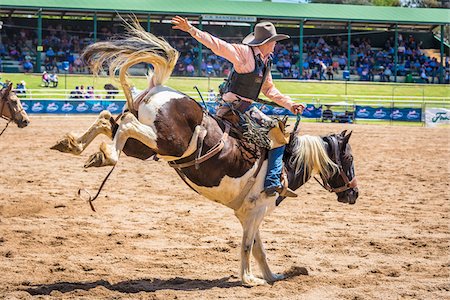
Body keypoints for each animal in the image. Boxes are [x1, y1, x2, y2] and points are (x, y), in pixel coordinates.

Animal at [51, 21, 358, 286]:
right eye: (349, 159)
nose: (354, 194)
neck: (287, 161)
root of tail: (158, 88)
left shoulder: (251, 213)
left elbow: (258, 247)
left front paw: (271, 276)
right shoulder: (256, 209)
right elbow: (248, 245)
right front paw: (249, 280)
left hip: (143, 148)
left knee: (107, 121)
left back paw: (74, 145)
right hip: (166, 142)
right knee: (124, 124)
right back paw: (104, 156)